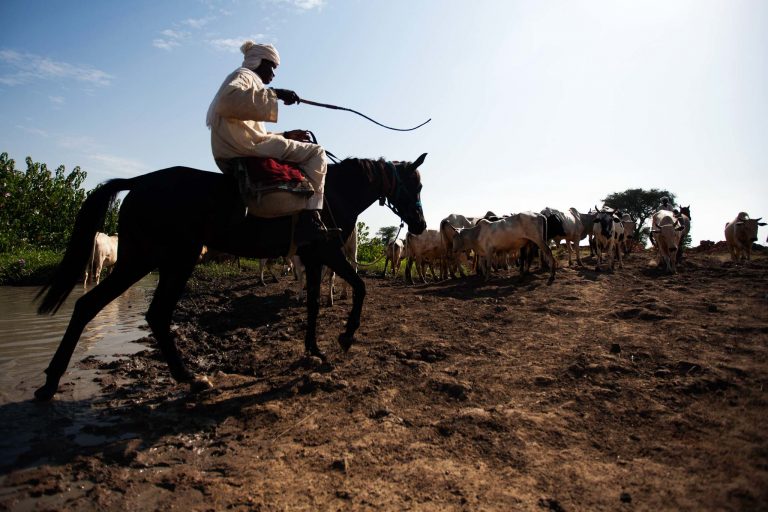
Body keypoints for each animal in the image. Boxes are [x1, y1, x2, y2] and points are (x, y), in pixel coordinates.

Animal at [34, 152, 426, 400]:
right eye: (417, 186)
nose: (421, 225)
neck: (334, 191)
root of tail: (139, 181)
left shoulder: (313, 258)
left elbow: (314, 304)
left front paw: (314, 349)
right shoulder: (326, 252)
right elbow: (359, 287)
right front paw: (345, 336)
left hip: (159, 260)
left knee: (123, 310)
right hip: (158, 260)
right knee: (115, 309)